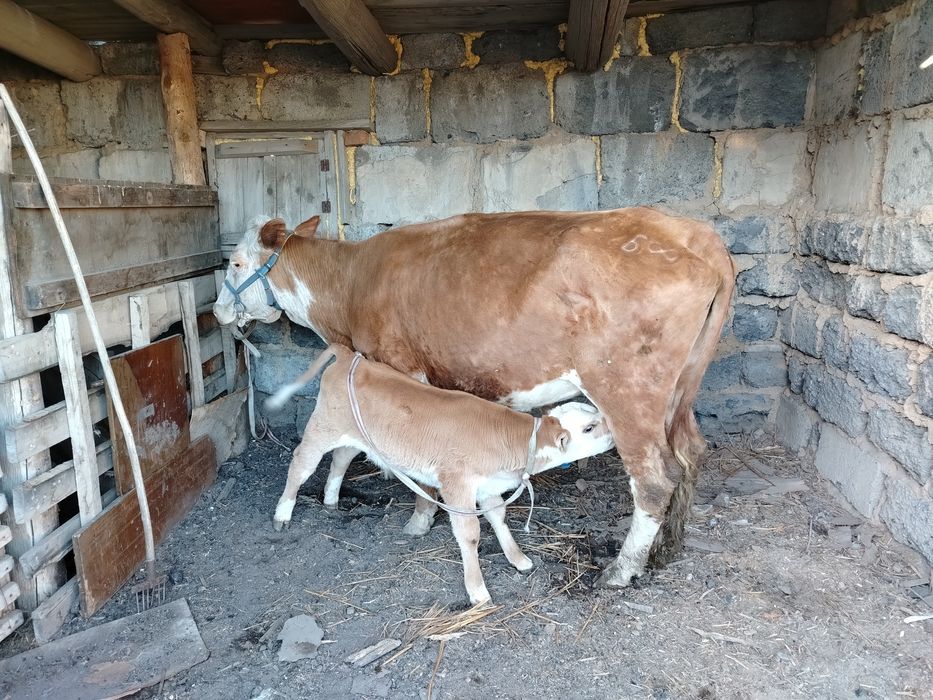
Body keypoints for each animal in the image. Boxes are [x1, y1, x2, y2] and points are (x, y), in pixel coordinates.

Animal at [266, 344, 614, 604]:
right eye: (589, 427)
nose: (614, 434)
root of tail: (350, 356)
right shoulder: (457, 483)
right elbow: (470, 534)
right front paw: (477, 591)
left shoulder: (489, 486)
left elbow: (499, 519)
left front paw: (518, 559)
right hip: (323, 427)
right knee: (301, 464)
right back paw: (283, 514)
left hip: (354, 436)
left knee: (340, 459)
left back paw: (330, 500)